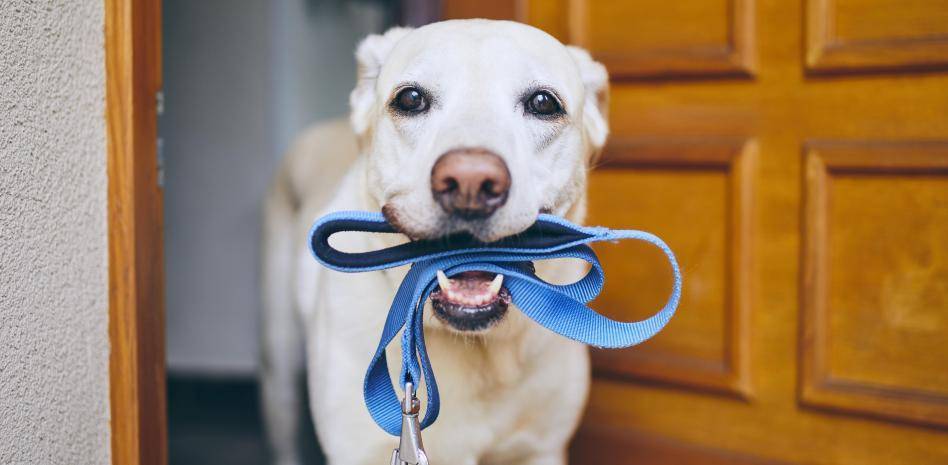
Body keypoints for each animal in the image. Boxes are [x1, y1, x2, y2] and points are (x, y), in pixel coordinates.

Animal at [262, 20, 612, 464]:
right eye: (411, 99)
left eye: (543, 102)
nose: (470, 182)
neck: (476, 346)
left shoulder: (542, 449)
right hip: (278, 372)